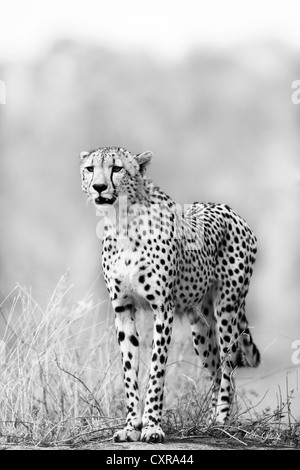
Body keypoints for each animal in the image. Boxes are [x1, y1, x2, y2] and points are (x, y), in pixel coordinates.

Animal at [79, 146, 260, 440]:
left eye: (117, 168)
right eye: (90, 169)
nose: (99, 187)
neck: (122, 220)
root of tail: (229, 209)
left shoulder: (162, 309)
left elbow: (156, 370)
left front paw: (152, 426)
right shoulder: (123, 308)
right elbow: (129, 370)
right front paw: (131, 426)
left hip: (227, 312)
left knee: (228, 369)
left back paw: (221, 422)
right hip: (201, 327)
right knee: (216, 369)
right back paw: (209, 422)